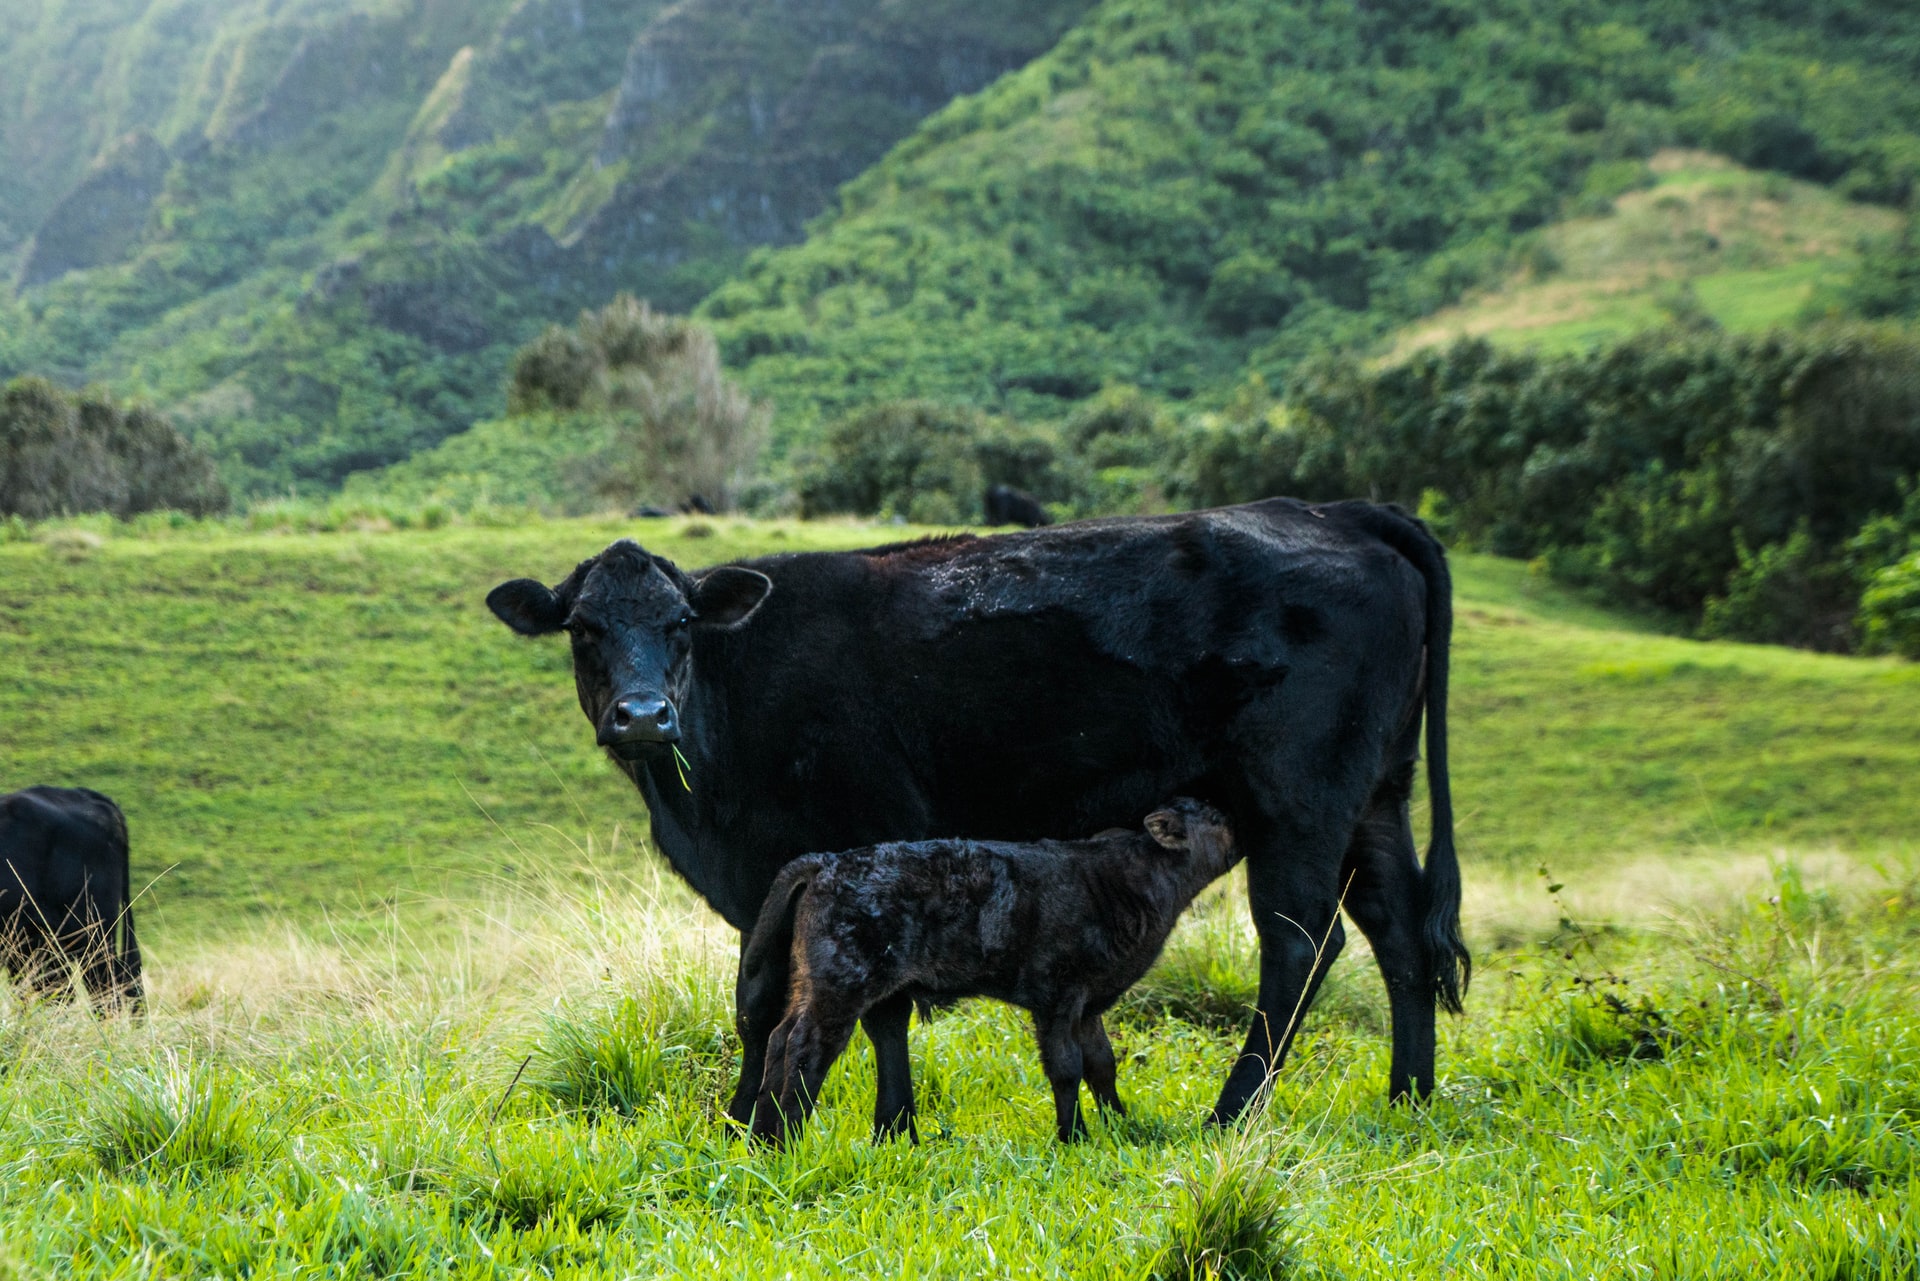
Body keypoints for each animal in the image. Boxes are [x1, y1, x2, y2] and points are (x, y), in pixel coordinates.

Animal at [741, 795, 1236, 1144]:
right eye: (1214, 819)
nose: (1241, 829)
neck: (1125, 880)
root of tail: (826, 862)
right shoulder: (1058, 997)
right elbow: (1066, 1065)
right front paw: (1074, 1137)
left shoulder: (1089, 1003)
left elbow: (1102, 1063)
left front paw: (1120, 1125)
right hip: (841, 987)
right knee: (807, 1048)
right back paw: (788, 1141)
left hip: (811, 983)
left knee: (780, 1039)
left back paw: (763, 1142)